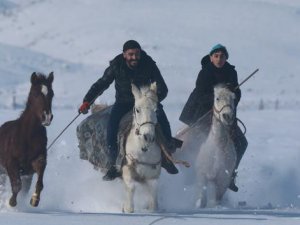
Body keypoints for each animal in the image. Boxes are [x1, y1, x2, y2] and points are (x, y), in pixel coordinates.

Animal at [0, 72, 53, 207]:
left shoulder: (34, 165)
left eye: (51, 94)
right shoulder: (11, 164)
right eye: (35, 94)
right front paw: (12, 202)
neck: (27, 137)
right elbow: (17, 185)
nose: (47, 117)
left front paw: (34, 200)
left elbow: (39, 183)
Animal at [121, 82, 162, 213]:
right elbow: (131, 187)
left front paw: (152, 208)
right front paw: (128, 208)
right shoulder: (127, 168)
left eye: (156, 110)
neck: (143, 149)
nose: (148, 136)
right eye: (137, 110)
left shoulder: (154, 174)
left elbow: (153, 192)